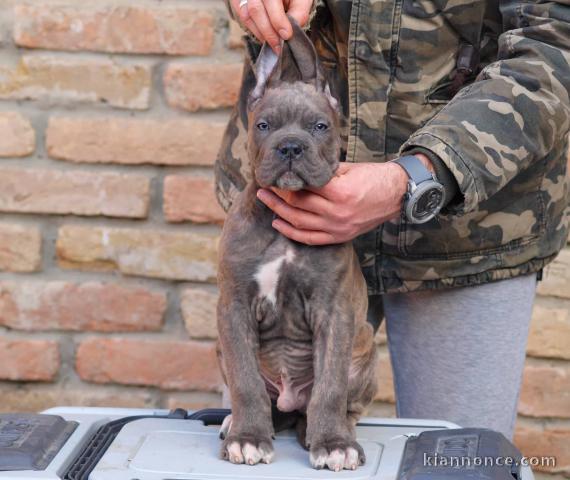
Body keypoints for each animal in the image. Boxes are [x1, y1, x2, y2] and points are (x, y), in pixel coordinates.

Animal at [215, 19, 374, 472]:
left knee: (340, 402)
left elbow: (330, 387)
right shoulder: (234, 307)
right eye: (264, 125)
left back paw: (329, 430)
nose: (290, 147)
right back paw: (236, 421)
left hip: (365, 351)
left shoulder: (334, 313)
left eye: (319, 126)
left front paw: (333, 443)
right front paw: (248, 438)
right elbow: (246, 381)